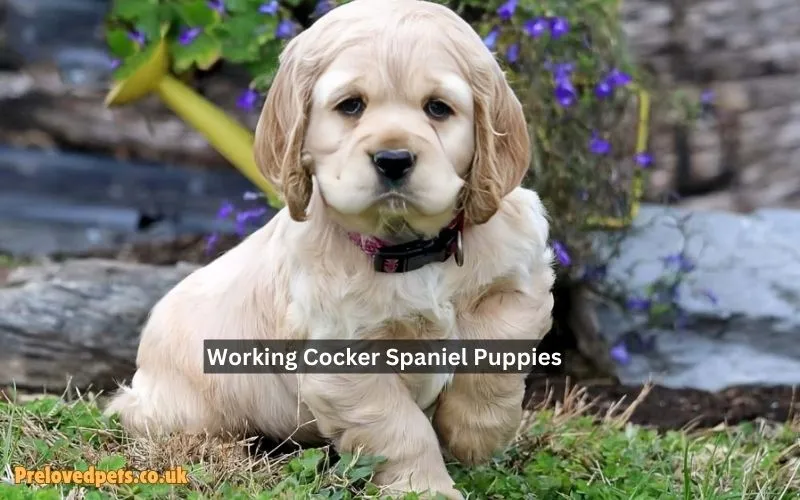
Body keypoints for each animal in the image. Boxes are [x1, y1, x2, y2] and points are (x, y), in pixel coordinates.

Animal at [104, 0, 556, 496]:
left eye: (438, 108)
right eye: (351, 106)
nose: (393, 159)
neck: (408, 250)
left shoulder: (520, 279)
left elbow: (496, 355)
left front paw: (475, 434)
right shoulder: (343, 356)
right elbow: (400, 428)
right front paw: (424, 487)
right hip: (180, 407)